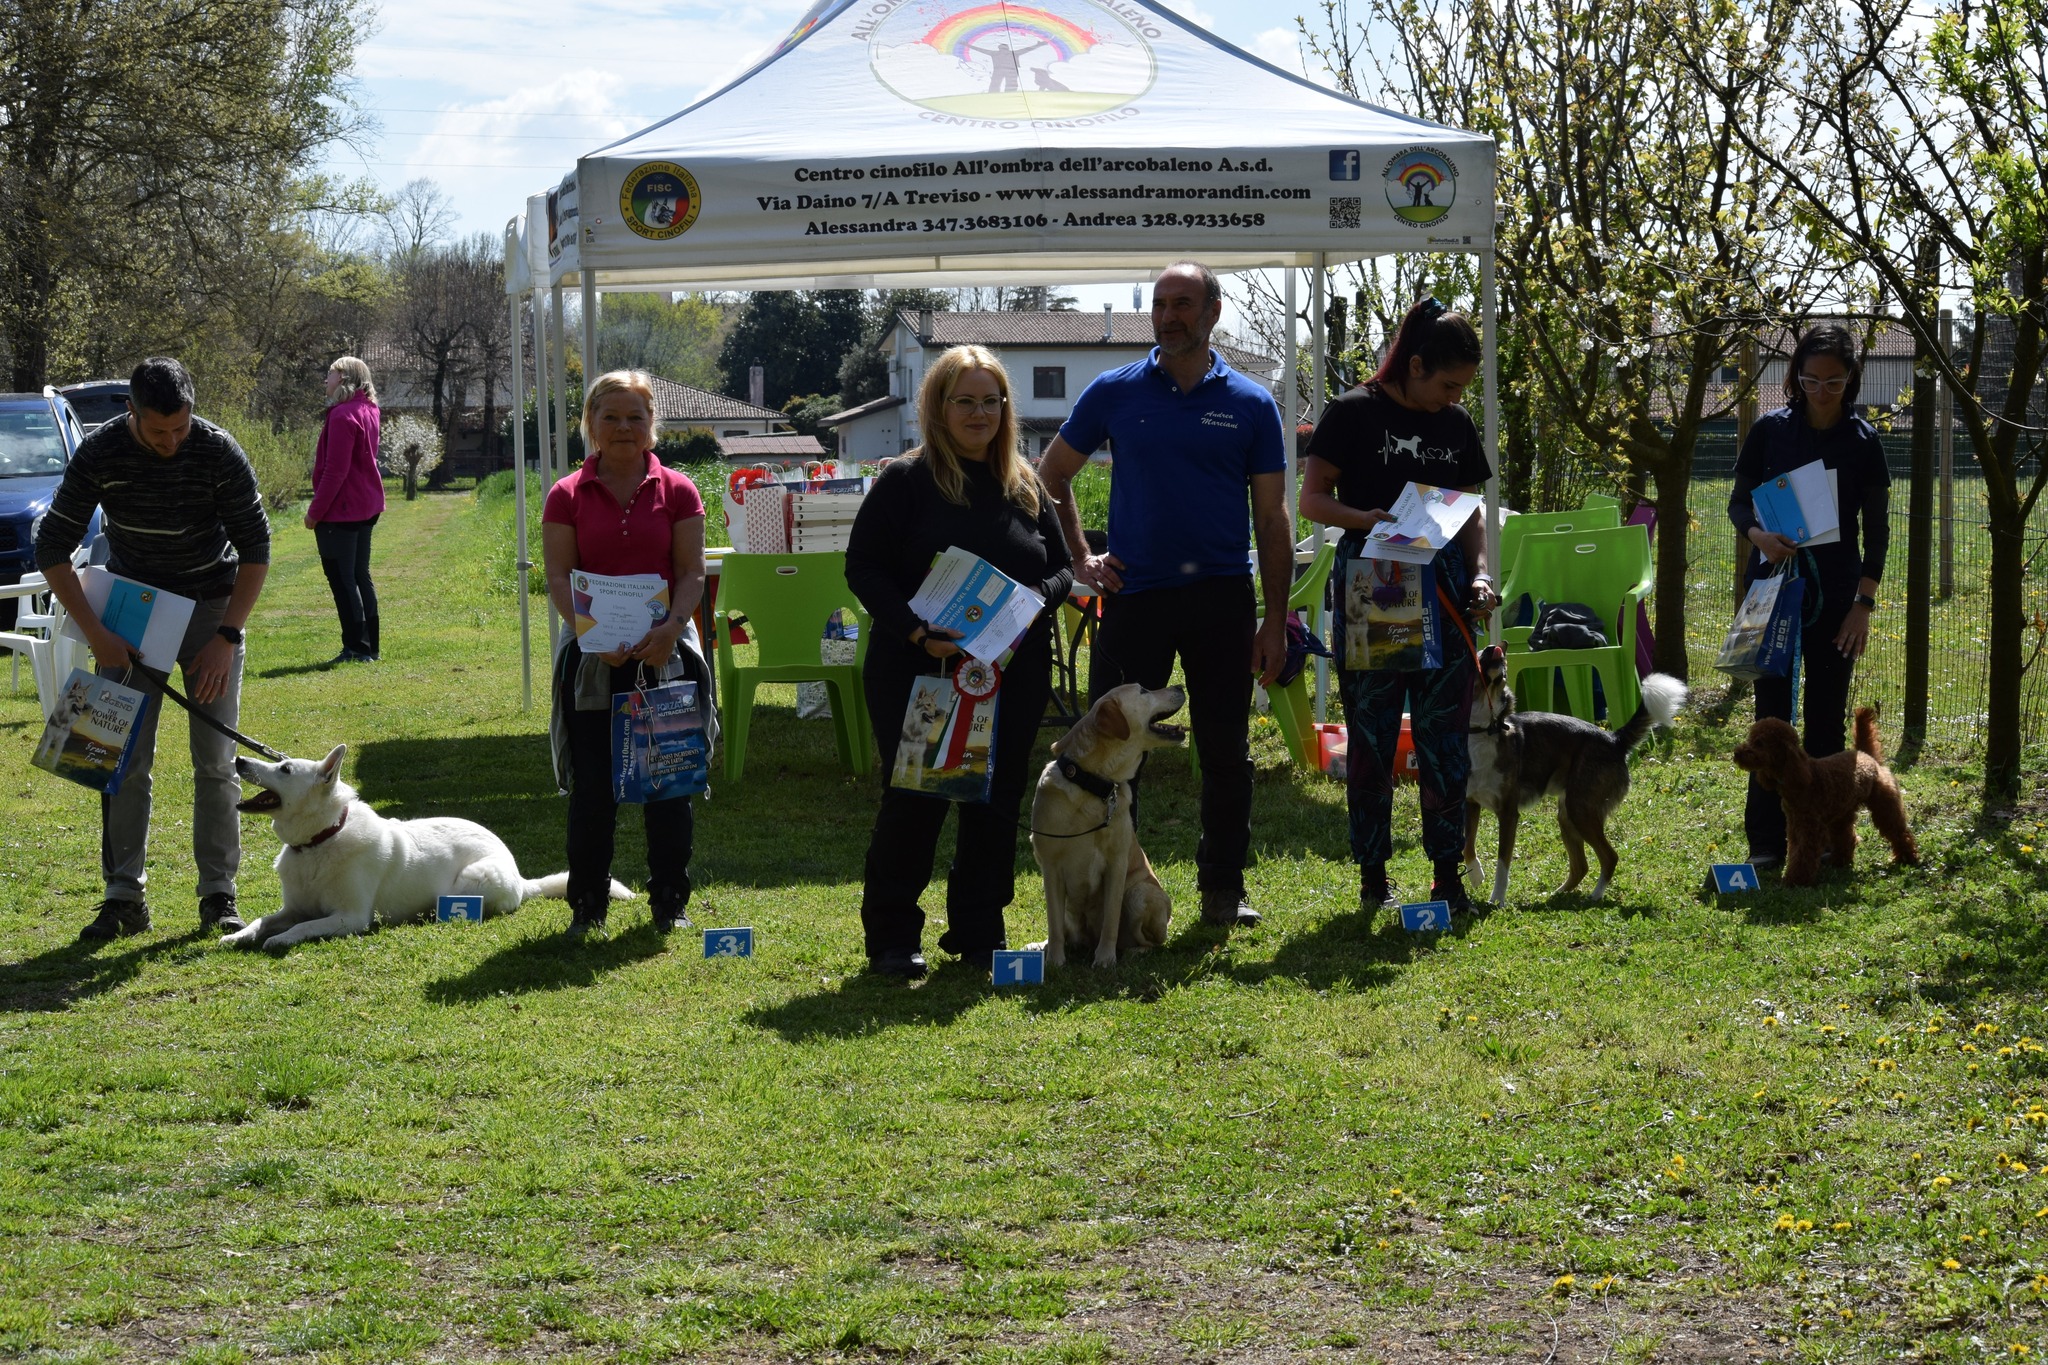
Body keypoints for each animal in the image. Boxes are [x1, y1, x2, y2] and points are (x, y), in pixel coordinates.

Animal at [221, 744, 630, 950]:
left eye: (285, 769)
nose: (238, 759)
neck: (321, 839)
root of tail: (520, 877)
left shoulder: (350, 918)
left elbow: (304, 927)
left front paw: (280, 940)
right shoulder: (292, 908)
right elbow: (263, 920)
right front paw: (239, 935)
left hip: (473, 881)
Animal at [1031, 683, 1187, 969]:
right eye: (1144, 690)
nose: (1179, 685)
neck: (1092, 785)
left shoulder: (1117, 864)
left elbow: (1111, 921)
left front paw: (1104, 959)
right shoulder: (1050, 868)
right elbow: (1054, 925)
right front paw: (1055, 962)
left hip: (1140, 894)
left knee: (1151, 940)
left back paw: (1134, 951)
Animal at [1463, 643, 1689, 903]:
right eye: (1477, 653)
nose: (1497, 646)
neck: (1485, 729)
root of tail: (1614, 740)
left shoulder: (1508, 813)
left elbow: (1503, 864)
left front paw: (1497, 899)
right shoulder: (1470, 803)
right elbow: (1467, 846)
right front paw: (1476, 875)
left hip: (1580, 810)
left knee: (1610, 857)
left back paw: (1595, 896)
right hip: (1568, 816)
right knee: (1581, 866)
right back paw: (1556, 895)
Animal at [1731, 708, 1920, 886]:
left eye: (1759, 743)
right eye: (1751, 739)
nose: (1737, 753)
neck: (1800, 777)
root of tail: (1866, 755)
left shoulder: (1810, 827)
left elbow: (1804, 854)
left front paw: (1796, 880)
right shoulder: (1794, 825)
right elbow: (1795, 850)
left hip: (1883, 805)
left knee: (1898, 832)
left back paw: (1907, 857)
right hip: (1842, 813)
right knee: (1847, 837)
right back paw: (1839, 862)